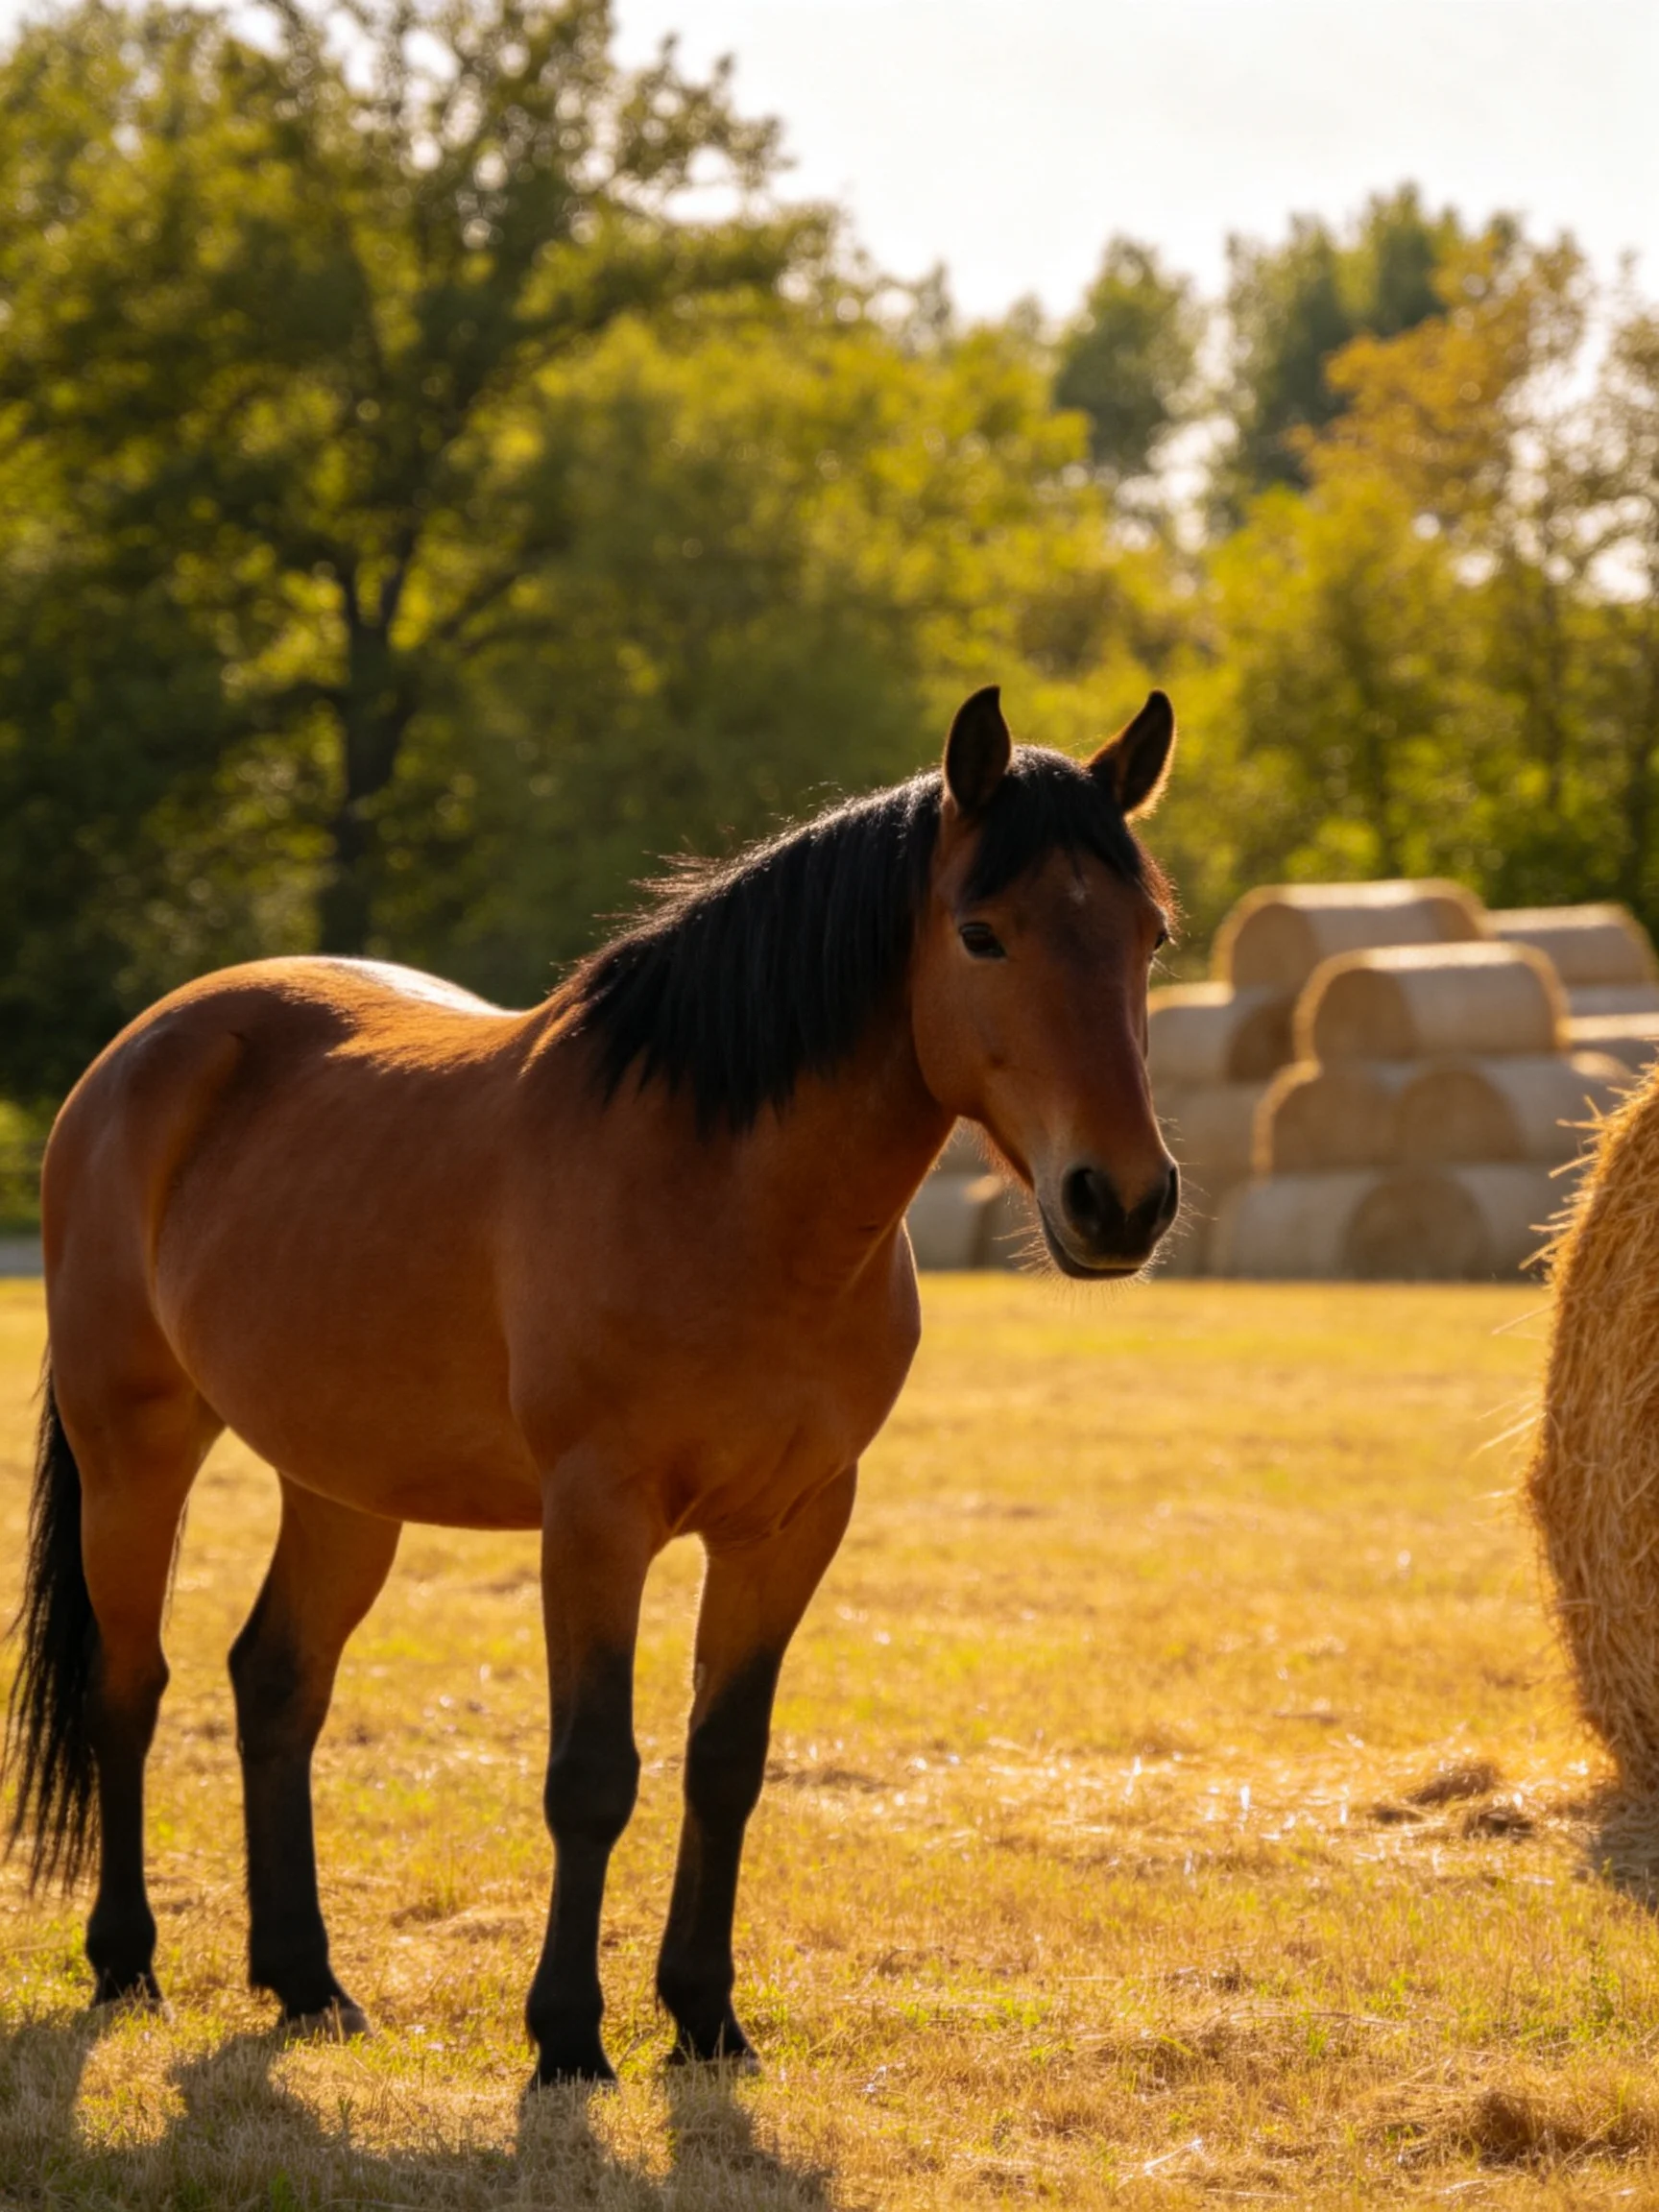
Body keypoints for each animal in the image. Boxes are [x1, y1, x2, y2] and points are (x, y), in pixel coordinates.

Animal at [4, 683, 1179, 2086]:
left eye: (1152, 937)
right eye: (983, 934)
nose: (1121, 1201)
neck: (728, 1195)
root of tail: (143, 1052)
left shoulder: (791, 1526)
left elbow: (725, 1761)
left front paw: (706, 2022)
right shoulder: (596, 1519)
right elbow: (592, 1775)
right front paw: (569, 2036)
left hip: (340, 1484)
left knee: (276, 1683)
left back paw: (308, 1986)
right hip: (134, 1450)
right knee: (130, 1689)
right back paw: (126, 1962)